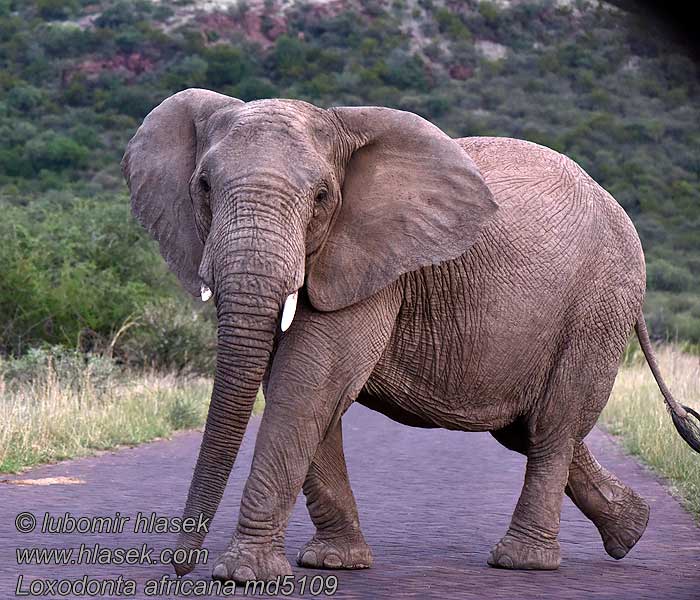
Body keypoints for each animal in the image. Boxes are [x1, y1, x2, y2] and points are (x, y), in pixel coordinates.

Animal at [121, 89, 700, 580]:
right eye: (203, 188)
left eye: (322, 196)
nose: (180, 567)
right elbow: (307, 391)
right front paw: (335, 563)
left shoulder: (374, 263)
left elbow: (306, 385)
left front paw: (243, 575)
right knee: (527, 426)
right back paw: (632, 529)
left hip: (598, 303)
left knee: (553, 425)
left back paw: (522, 562)